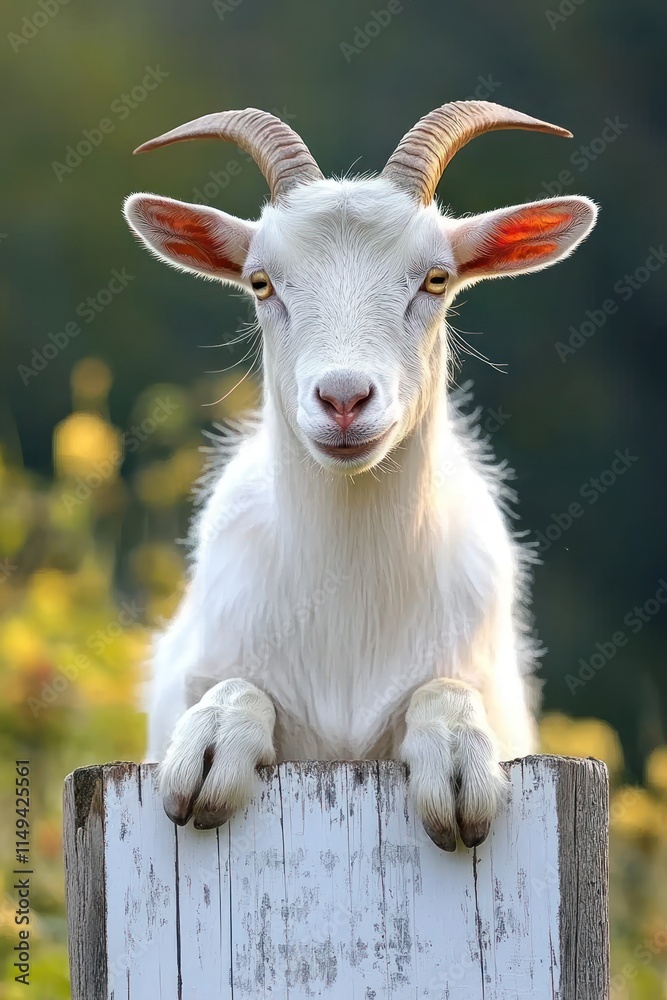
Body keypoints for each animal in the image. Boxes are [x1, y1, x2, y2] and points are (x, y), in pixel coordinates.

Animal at [124, 101, 597, 850]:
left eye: (435, 278)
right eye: (261, 282)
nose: (343, 399)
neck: (350, 604)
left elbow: (444, 690)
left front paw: (457, 761)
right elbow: (235, 686)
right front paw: (211, 746)